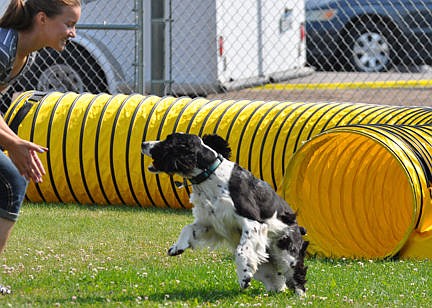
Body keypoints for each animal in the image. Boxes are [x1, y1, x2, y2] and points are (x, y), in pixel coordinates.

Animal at [142, 133, 308, 296]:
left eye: (168, 140)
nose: (143, 143)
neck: (210, 176)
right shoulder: (209, 222)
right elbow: (188, 228)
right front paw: (177, 247)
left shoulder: (252, 222)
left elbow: (241, 250)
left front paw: (243, 276)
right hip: (265, 259)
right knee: (276, 279)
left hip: (286, 251)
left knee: (296, 272)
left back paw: (300, 295)